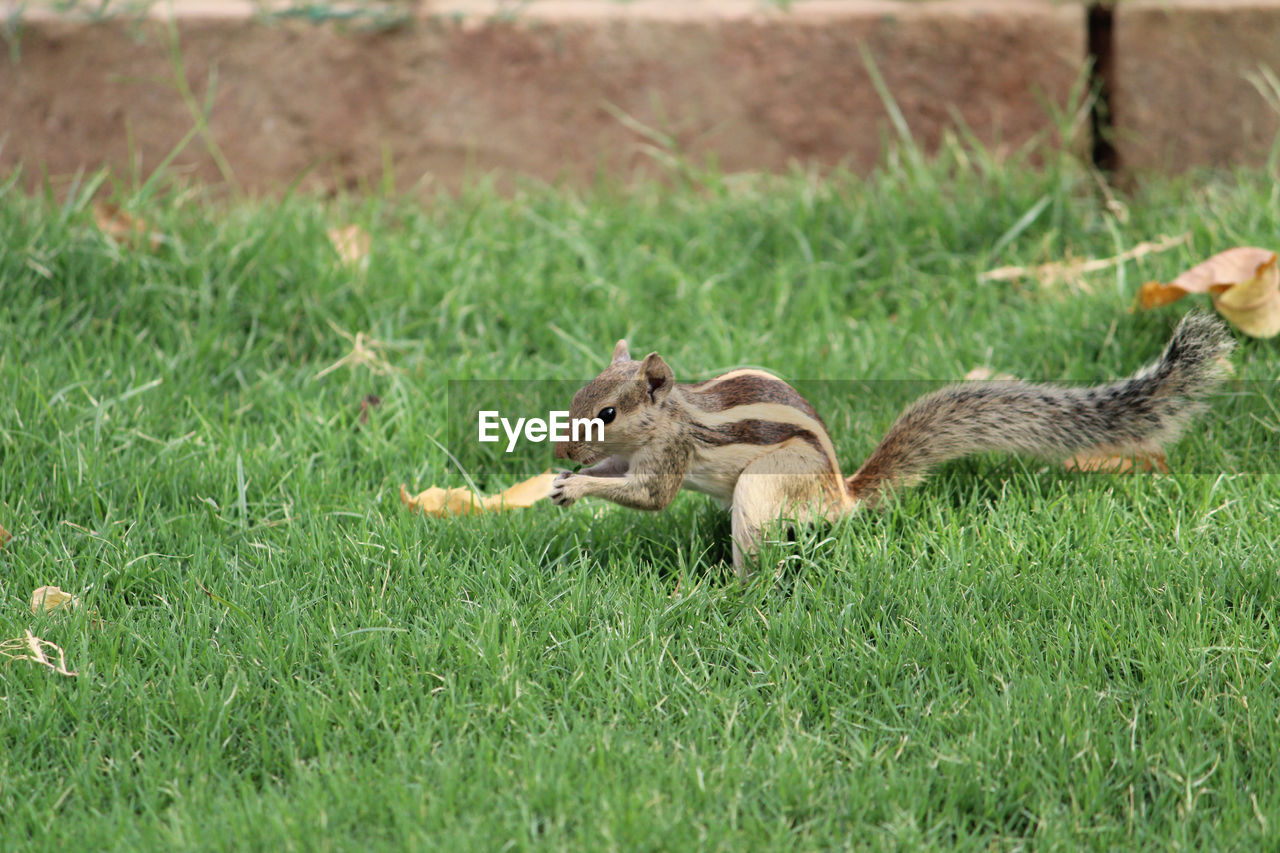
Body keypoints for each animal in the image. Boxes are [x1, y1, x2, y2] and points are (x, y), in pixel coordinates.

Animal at [547, 312, 1228, 571]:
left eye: (606, 411)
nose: (559, 452)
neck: (671, 416)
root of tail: (839, 495)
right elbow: (619, 475)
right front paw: (565, 481)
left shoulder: (672, 455)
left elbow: (650, 496)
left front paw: (577, 487)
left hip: (764, 490)